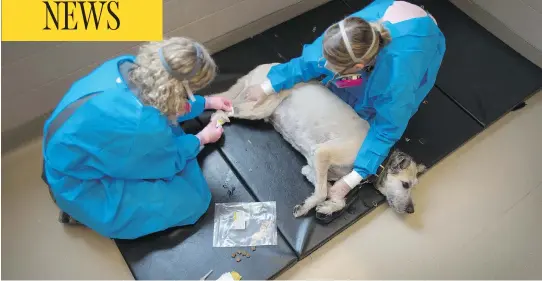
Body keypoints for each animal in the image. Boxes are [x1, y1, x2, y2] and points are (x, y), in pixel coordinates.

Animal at [212, 64, 430, 217]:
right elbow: (321, 193)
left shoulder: (314, 167)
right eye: (405, 185)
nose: (411, 210)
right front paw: (306, 207)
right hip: (259, 106)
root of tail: (263, 66)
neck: (378, 161)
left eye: (414, 185)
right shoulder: (323, 154)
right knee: (224, 109)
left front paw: (328, 207)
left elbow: (330, 192)